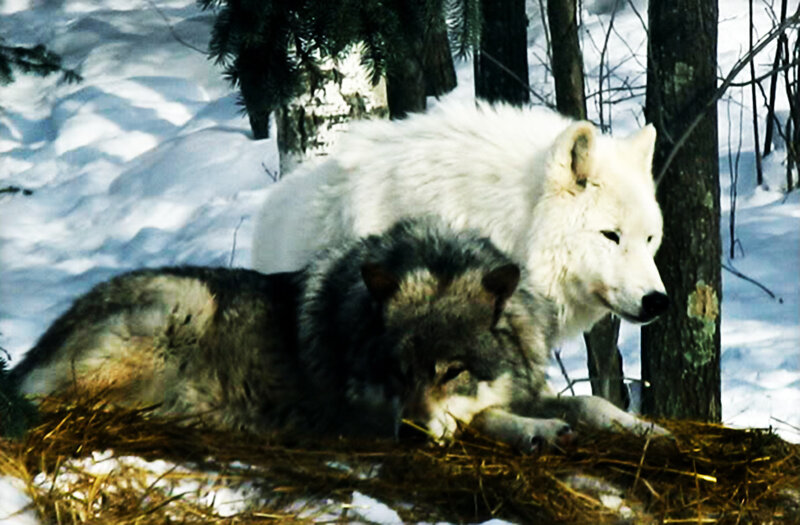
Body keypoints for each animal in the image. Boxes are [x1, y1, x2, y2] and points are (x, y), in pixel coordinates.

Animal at [13, 218, 664, 450]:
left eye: (452, 369)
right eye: (398, 373)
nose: (408, 432)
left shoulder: (525, 382)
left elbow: (586, 402)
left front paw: (641, 426)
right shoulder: (363, 415)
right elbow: (485, 416)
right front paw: (534, 430)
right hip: (183, 307)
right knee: (51, 400)